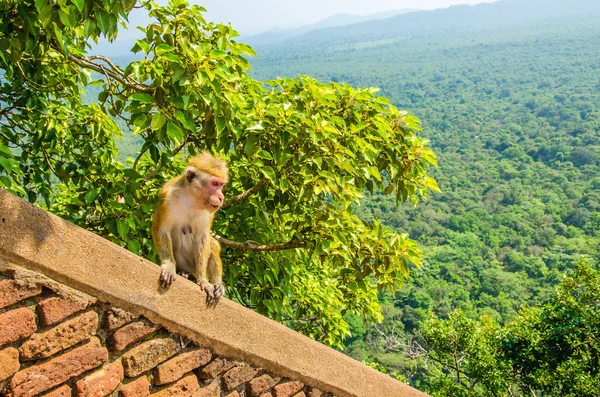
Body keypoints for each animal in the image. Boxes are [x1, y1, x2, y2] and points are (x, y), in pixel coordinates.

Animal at [154, 151, 229, 304]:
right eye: (214, 184)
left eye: (221, 185)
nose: (221, 197)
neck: (192, 198)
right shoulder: (168, 197)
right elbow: (162, 230)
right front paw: (169, 266)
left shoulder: (208, 212)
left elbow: (203, 238)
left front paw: (203, 280)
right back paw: (183, 272)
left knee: (212, 244)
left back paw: (216, 284)